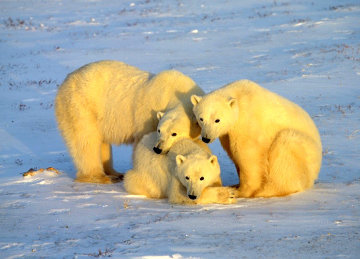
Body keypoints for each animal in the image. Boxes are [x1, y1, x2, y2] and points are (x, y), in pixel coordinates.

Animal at [55, 60, 204, 184]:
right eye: (159, 131)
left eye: (174, 134)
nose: (158, 149)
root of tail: (65, 81)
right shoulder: (148, 116)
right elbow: (142, 142)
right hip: (80, 107)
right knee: (86, 141)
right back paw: (100, 177)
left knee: (102, 142)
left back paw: (115, 173)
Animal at [193, 80, 322, 198]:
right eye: (201, 118)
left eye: (217, 120)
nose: (206, 138)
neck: (239, 96)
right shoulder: (227, 134)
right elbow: (233, 152)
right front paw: (236, 185)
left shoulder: (248, 121)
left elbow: (247, 154)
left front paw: (241, 191)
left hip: (304, 151)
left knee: (285, 148)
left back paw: (265, 191)